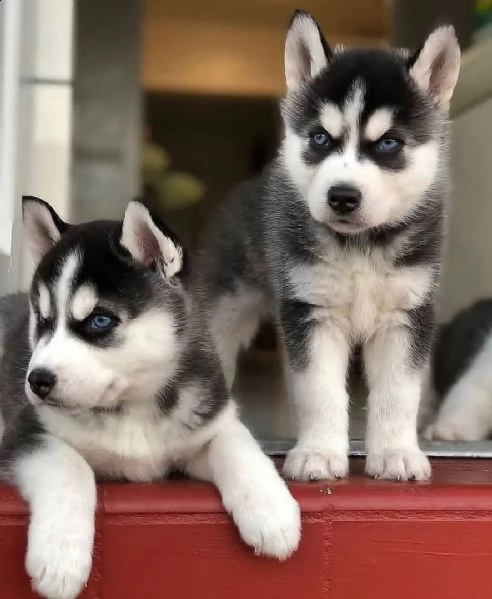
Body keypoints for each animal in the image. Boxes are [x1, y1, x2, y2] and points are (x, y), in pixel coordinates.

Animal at [0, 198, 300, 599]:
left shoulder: (206, 422)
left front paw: (272, 512)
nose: (37, 381)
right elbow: (70, 466)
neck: (133, 407)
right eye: (43, 319)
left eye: (99, 321)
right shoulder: (27, 433)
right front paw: (60, 558)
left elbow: (238, 445)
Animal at [195, 10, 462, 482]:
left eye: (389, 143)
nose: (342, 196)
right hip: (228, 305)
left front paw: (396, 453)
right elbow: (319, 390)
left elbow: (398, 393)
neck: (360, 246)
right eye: (320, 138)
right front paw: (319, 452)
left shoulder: (406, 315)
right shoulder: (312, 313)